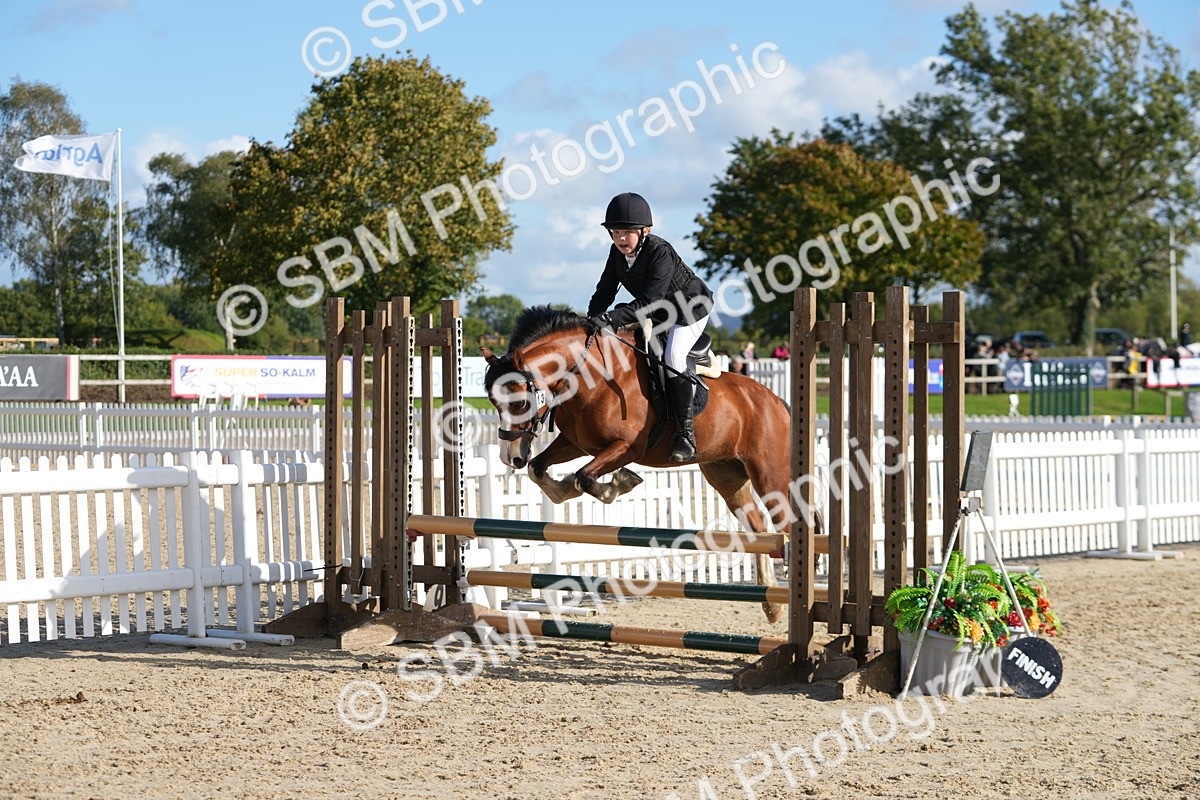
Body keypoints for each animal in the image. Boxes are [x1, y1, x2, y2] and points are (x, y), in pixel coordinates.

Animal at [480, 306, 792, 623]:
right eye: (492, 400)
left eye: (519, 403)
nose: (510, 457)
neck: (592, 375)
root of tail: (775, 400)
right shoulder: (575, 443)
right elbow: (540, 470)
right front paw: (565, 488)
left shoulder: (626, 447)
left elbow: (585, 477)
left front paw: (621, 483)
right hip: (725, 474)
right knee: (758, 525)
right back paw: (772, 605)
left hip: (769, 475)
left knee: (785, 523)